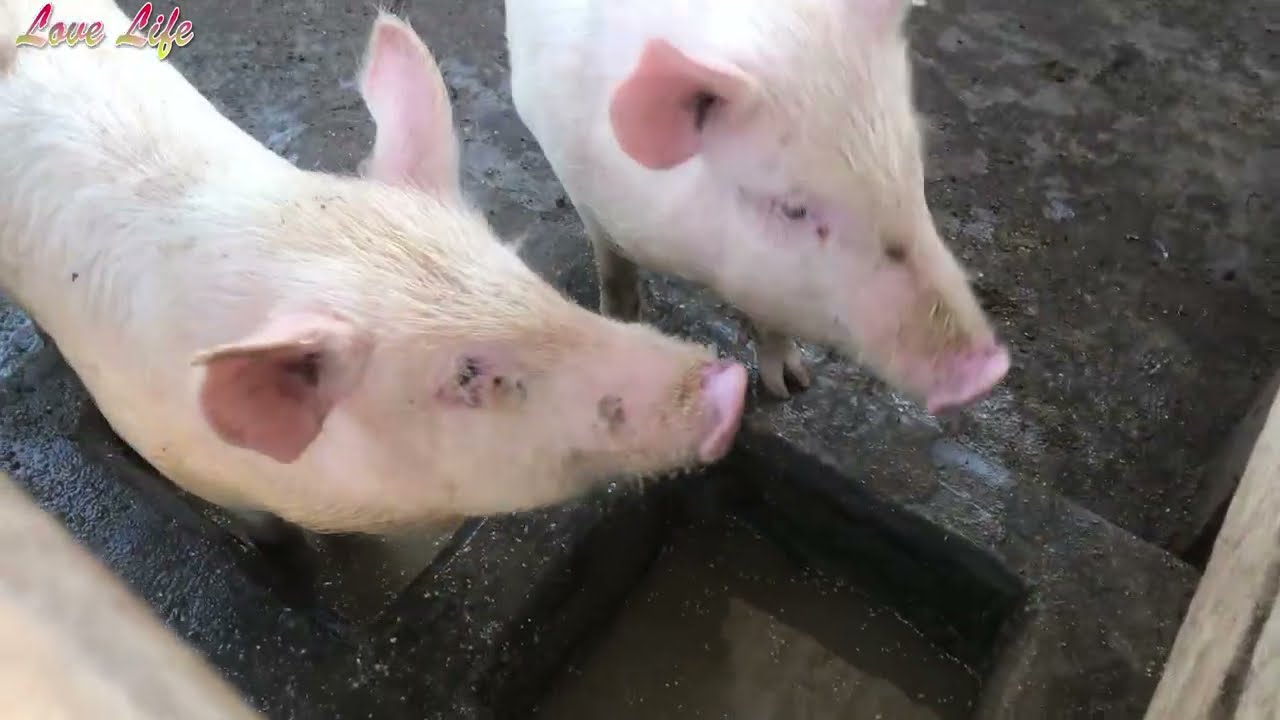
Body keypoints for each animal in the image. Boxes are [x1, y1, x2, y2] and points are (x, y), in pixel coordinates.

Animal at [504, 0, 1011, 412]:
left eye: (910, 162)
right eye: (792, 209)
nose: (989, 372)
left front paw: (794, 384)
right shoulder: (579, 182)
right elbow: (612, 264)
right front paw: (623, 320)